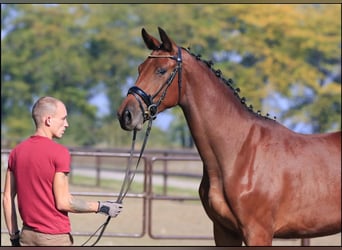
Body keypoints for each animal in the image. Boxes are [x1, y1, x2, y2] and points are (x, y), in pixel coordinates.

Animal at [117, 27, 340, 246]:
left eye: (161, 70)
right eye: (140, 68)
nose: (125, 114)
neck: (240, 152)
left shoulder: (258, 233)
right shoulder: (224, 231)